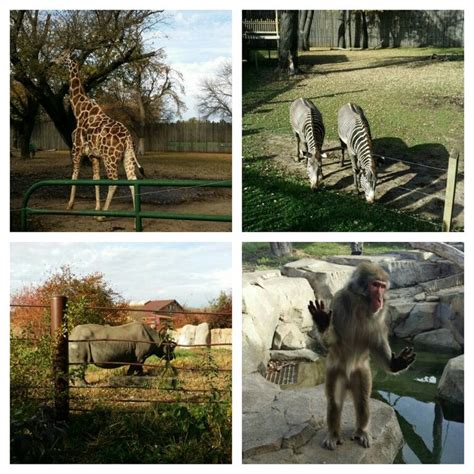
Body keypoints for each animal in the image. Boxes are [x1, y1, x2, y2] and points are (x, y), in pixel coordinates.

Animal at [53, 52, 143, 214]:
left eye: (61, 55)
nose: (52, 61)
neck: (79, 110)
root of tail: (128, 138)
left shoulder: (76, 149)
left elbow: (74, 176)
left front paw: (70, 205)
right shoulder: (94, 155)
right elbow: (95, 179)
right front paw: (96, 207)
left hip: (110, 158)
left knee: (114, 182)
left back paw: (103, 215)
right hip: (127, 156)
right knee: (132, 180)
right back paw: (134, 214)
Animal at [308, 262, 414, 452]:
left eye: (382, 286)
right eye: (375, 285)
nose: (380, 298)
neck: (361, 306)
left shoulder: (381, 314)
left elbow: (377, 341)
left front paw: (396, 363)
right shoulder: (338, 302)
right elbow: (332, 341)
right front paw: (322, 321)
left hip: (362, 372)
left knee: (362, 400)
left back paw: (362, 431)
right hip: (335, 372)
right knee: (334, 402)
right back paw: (333, 434)